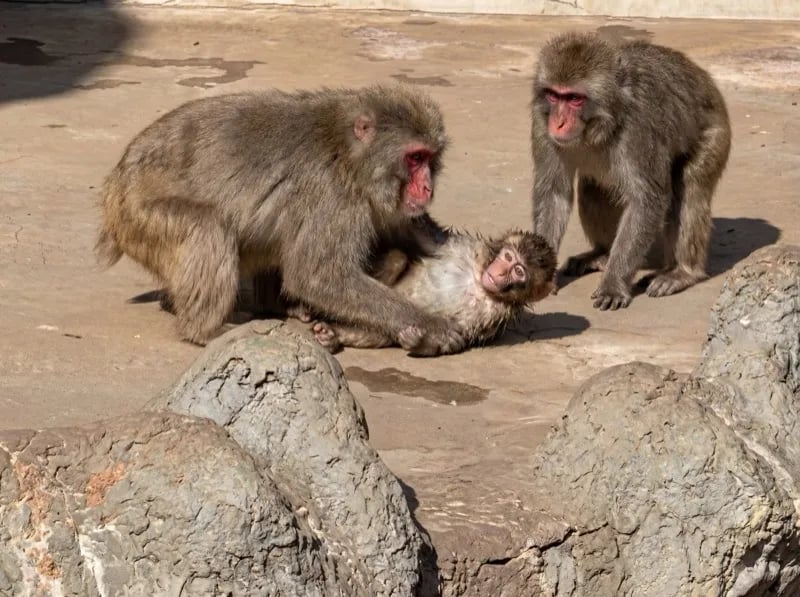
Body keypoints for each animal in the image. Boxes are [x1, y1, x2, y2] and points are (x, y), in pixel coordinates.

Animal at [95, 85, 466, 356]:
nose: (427, 186)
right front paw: (433, 325)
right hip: (139, 216)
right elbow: (317, 276)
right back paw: (206, 331)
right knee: (208, 228)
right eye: (414, 157)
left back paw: (277, 306)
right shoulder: (332, 194)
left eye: (430, 158)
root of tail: (115, 182)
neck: (349, 156)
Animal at [311, 229, 557, 353]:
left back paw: (331, 335)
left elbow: (458, 337)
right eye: (507, 256)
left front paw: (414, 342)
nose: (499, 273)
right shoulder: (468, 246)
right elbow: (426, 237)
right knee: (397, 260)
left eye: (518, 271)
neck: (479, 282)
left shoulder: (492, 315)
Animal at [530, 32, 731, 310]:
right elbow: (554, 194)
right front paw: (541, 274)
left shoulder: (639, 127)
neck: (600, 124)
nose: (558, 123)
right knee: (593, 188)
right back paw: (601, 254)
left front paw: (614, 285)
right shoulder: (541, 122)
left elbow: (647, 200)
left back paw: (682, 272)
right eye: (553, 95)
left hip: (715, 134)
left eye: (574, 99)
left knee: (689, 190)